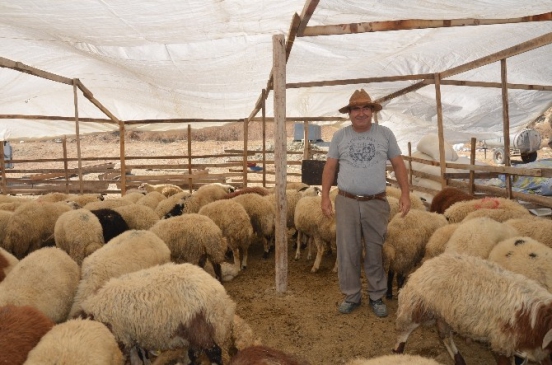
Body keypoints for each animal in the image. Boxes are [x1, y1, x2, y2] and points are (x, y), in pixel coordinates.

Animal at [394, 252, 552, 364]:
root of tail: (427, 264)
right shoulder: (501, 343)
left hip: (443, 315)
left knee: (445, 336)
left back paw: (459, 360)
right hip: (416, 307)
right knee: (402, 334)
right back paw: (397, 353)